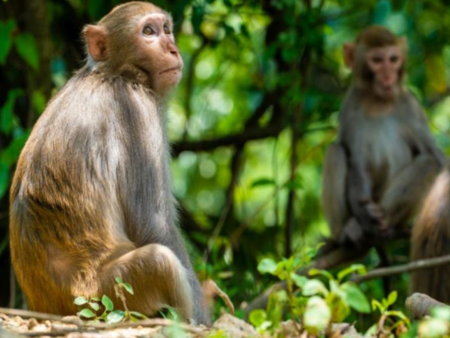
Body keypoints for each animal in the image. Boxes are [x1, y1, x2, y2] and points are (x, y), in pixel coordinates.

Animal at [7, 1, 210, 324]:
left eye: (166, 29)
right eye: (148, 32)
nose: (173, 49)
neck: (115, 73)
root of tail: (46, 309)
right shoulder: (137, 108)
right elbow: (153, 225)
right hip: (107, 295)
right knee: (160, 261)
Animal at [322, 26, 444, 247]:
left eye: (393, 59)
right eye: (377, 60)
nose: (388, 76)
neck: (378, 101)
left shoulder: (410, 106)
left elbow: (435, 154)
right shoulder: (350, 109)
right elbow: (356, 162)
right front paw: (363, 218)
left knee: (428, 163)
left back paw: (384, 219)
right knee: (334, 152)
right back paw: (346, 230)